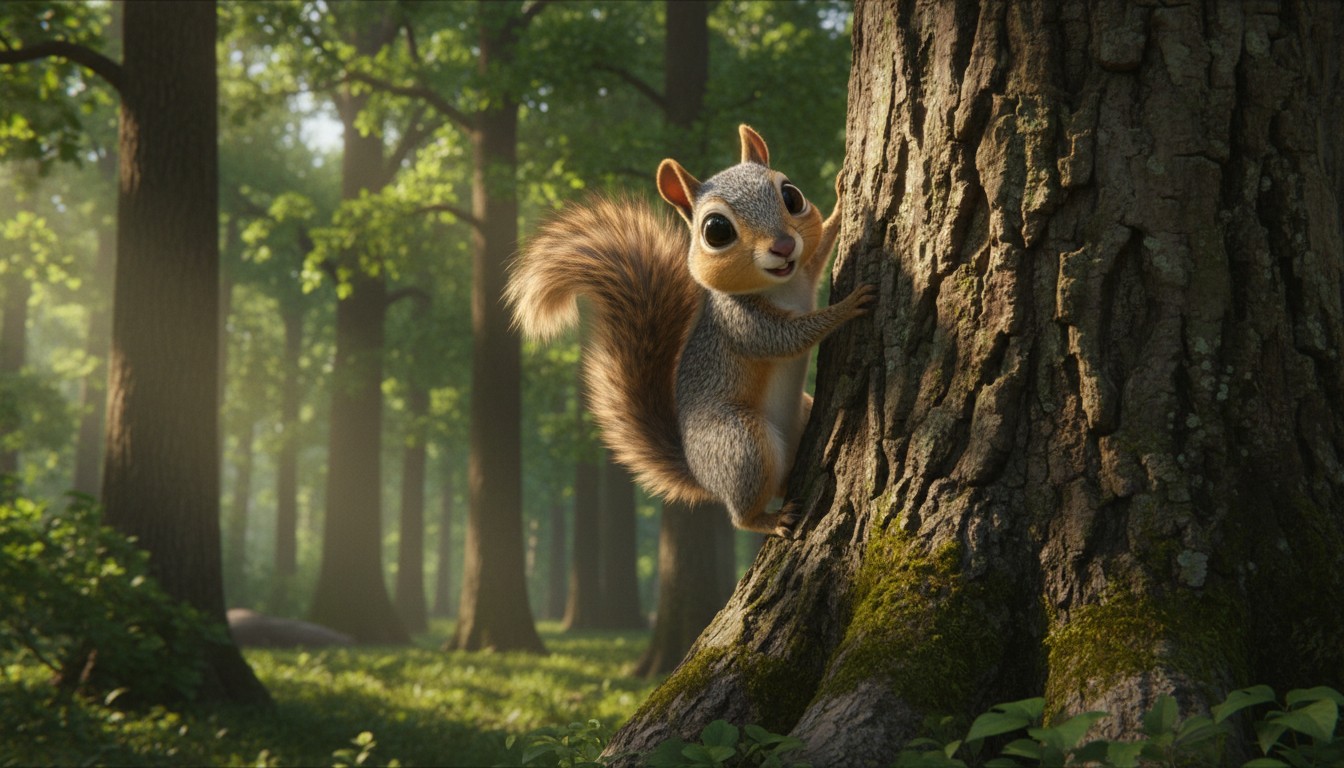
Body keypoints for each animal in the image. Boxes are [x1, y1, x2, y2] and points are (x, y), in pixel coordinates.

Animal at [506, 125, 874, 537]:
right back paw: (771, 520)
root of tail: (701, 474)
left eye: (791, 197)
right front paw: (848, 305)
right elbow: (788, 337)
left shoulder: (805, 272)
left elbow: (820, 247)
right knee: (742, 512)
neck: (783, 285)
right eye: (716, 231)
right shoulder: (740, 323)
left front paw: (841, 201)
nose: (783, 246)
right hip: (739, 443)